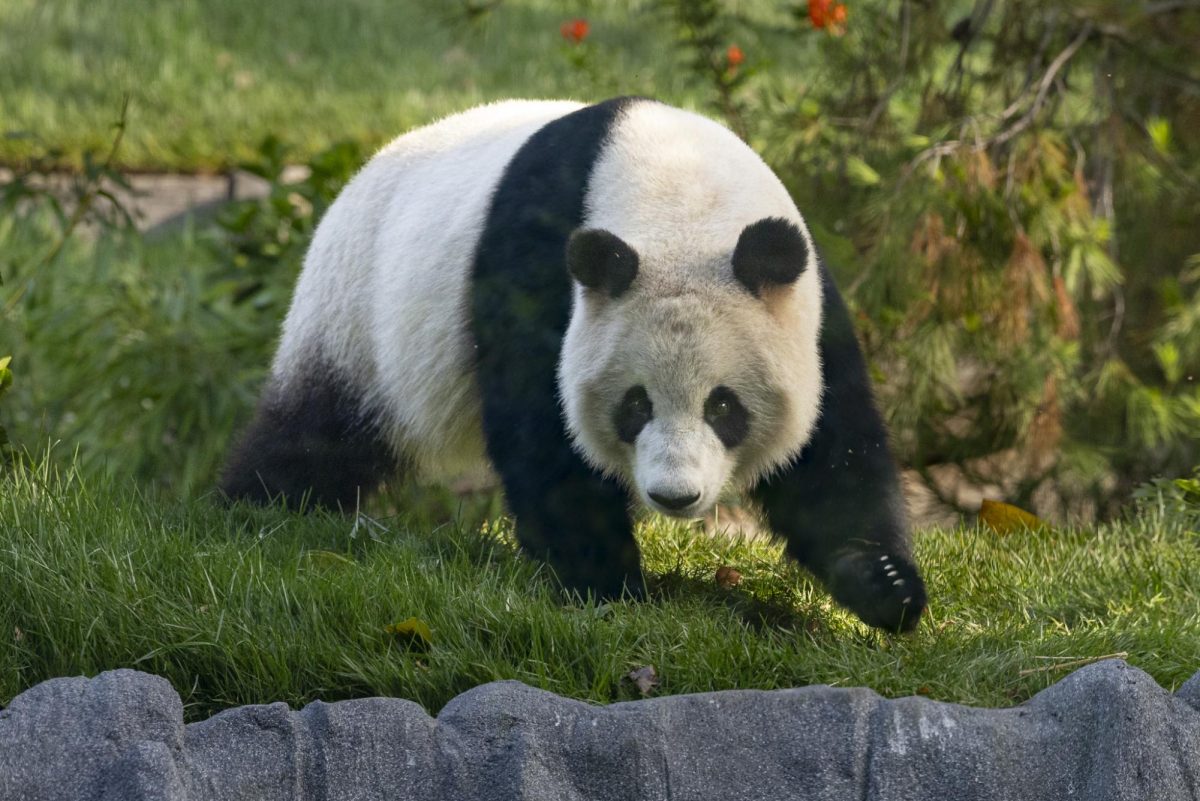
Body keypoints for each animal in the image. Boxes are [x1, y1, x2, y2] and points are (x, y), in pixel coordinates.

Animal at [223, 95, 926, 633]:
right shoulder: (537, 260)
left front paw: (885, 583)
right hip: (357, 316)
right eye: (635, 403)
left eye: (724, 406)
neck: (681, 196)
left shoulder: (807, 303)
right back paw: (257, 511)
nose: (675, 496)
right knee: (319, 430)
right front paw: (606, 583)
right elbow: (542, 427)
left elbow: (833, 447)